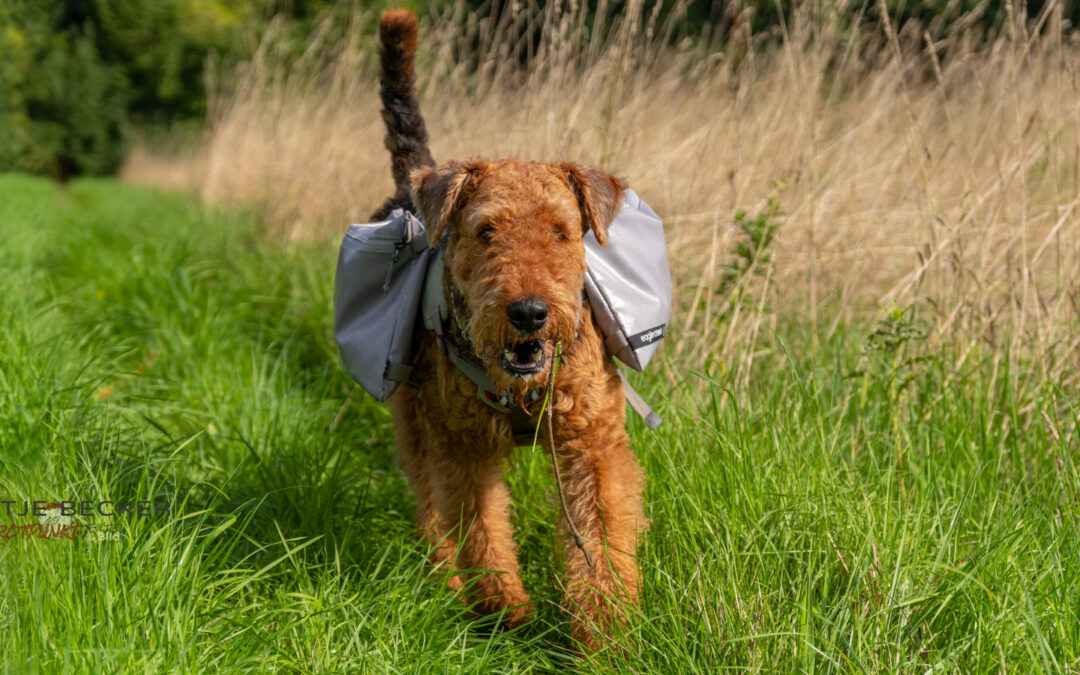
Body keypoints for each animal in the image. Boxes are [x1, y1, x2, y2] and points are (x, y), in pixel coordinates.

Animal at [373, 6, 639, 648]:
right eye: (486, 230)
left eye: (562, 230)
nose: (529, 312)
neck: (522, 389)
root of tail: (413, 183)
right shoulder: (462, 447)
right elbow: (481, 528)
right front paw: (504, 610)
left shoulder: (592, 443)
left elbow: (601, 533)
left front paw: (603, 626)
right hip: (414, 422)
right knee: (430, 507)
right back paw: (444, 580)